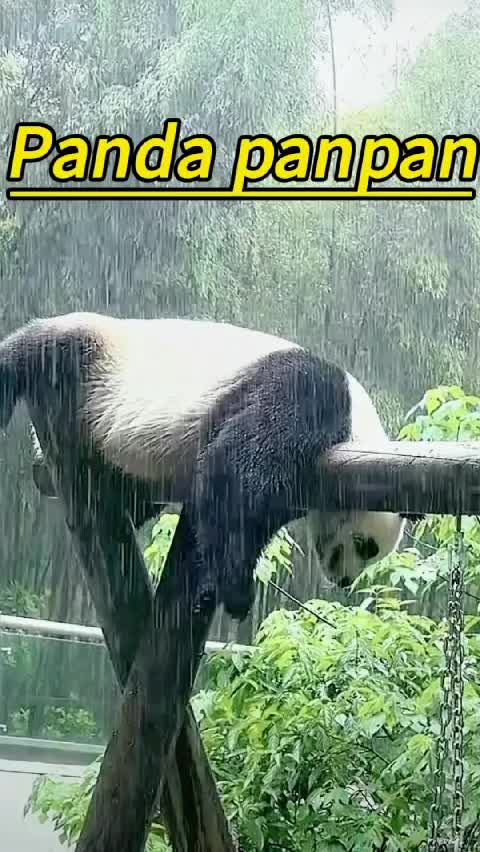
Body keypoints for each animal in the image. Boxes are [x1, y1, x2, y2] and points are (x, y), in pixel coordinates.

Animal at [0, 312, 410, 618]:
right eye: (365, 545)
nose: (345, 581)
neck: (360, 430)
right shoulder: (307, 394)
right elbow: (237, 471)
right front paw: (238, 592)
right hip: (89, 353)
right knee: (27, 352)